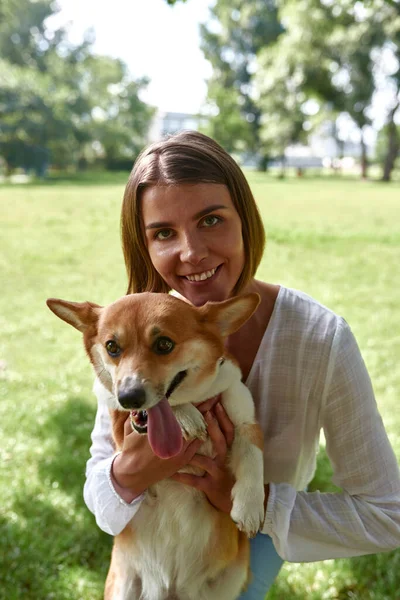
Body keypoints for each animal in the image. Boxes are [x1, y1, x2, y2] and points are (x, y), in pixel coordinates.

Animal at [47, 292, 266, 600]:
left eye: (164, 344)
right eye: (112, 346)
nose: (129, 397)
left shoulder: (246, 420)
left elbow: (253, 458)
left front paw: (250, 507)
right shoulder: (119, 428)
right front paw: (186, 416)